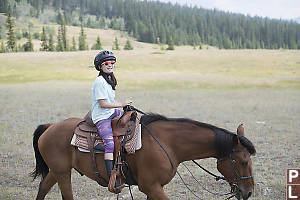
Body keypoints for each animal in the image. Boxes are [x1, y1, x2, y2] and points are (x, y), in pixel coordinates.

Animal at [30, 113, 255, 199]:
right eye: (243, 162)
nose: (249, 192)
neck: (168, 143)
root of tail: (50, 126)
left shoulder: (154, 187)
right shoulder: (151, 186)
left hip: (57, 171)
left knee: (43, 188)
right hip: (62, 173)